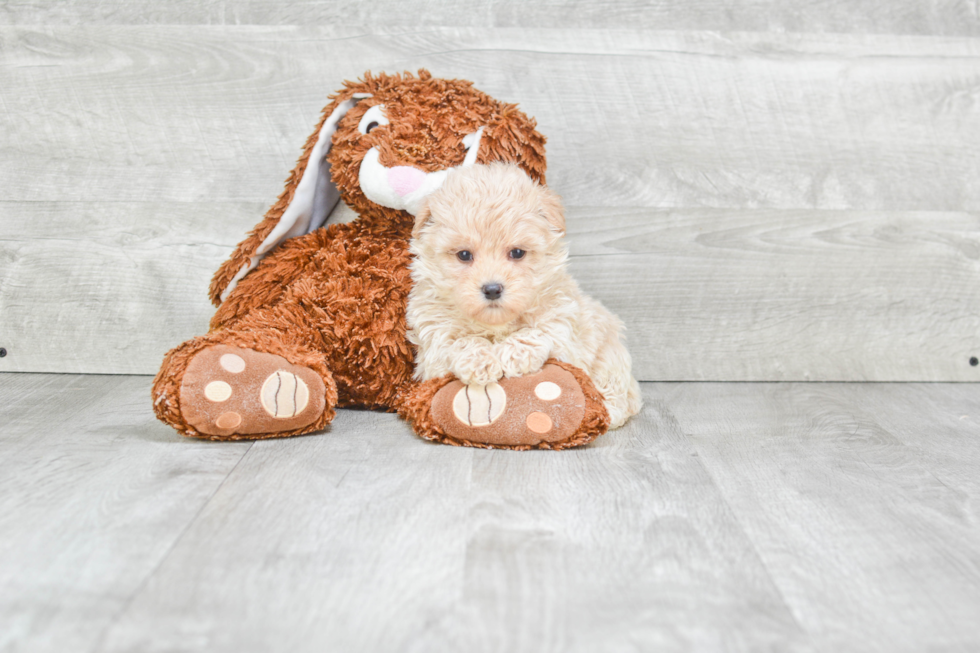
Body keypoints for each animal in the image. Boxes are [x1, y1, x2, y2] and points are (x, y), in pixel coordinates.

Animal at [408, 162, 644, 428]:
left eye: (518, 252)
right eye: (464, 255)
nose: (492, 289)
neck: (495, 325)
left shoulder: (563, 324)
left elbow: (538, 331)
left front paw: (515, 354)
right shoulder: (432, 343)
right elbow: (460, 340)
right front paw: (479, 360)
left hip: (610, 354)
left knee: (618, 390)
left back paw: (608, 412)